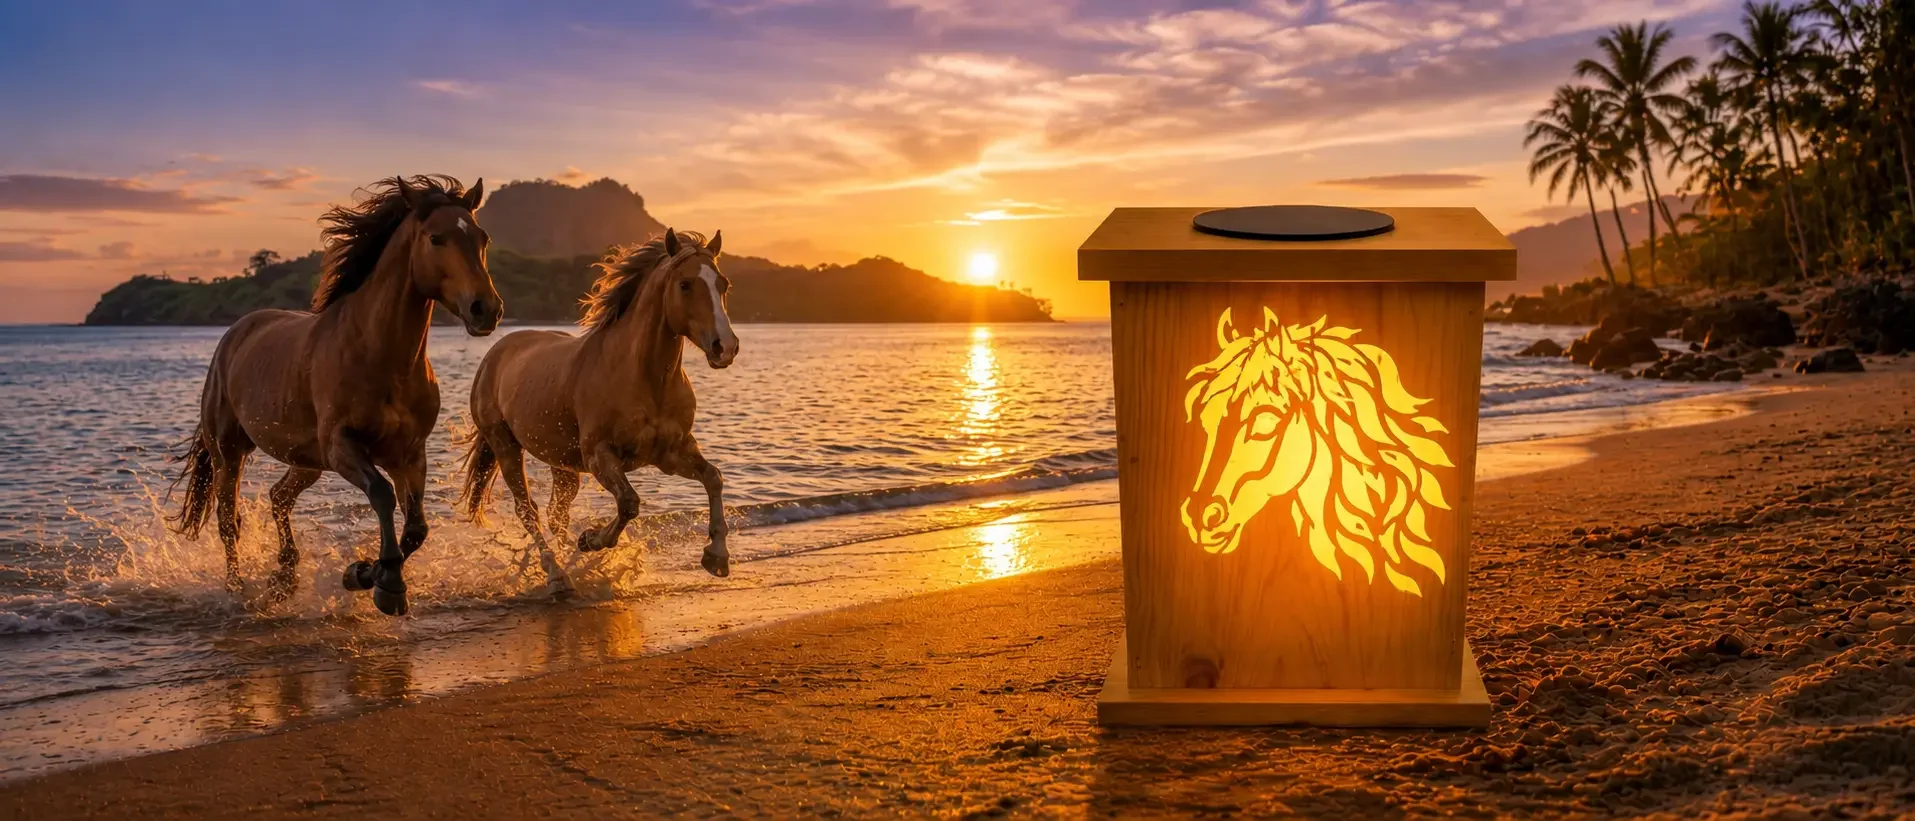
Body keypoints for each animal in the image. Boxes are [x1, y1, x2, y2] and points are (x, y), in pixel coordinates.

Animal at [170, 174, 502, 616]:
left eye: (482, 238)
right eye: (436, 238)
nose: (487, 309)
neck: (378, 356)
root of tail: (237, 332)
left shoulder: (409, 453)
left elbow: (417, 527)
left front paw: (363, 573)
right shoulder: (342, 446)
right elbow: (382, 495)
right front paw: (382, 581)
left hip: (305, 460)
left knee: (279, 497)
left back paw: (284, 578)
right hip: (229, 451)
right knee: (228, 520)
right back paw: (237, 589)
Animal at [459, 229, 739, 583]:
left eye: (723, 284)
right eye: (685, 284)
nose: (724, 347)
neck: (643, 379)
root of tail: (494, 355)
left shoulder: (672, 453)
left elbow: (714, 478)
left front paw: (717, 556)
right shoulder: (600, 454)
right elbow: (629, 502)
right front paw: (591, 539)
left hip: (562, 465)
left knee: (555, 514)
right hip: (505, 446)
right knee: (528, 510)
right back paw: (557, 574)